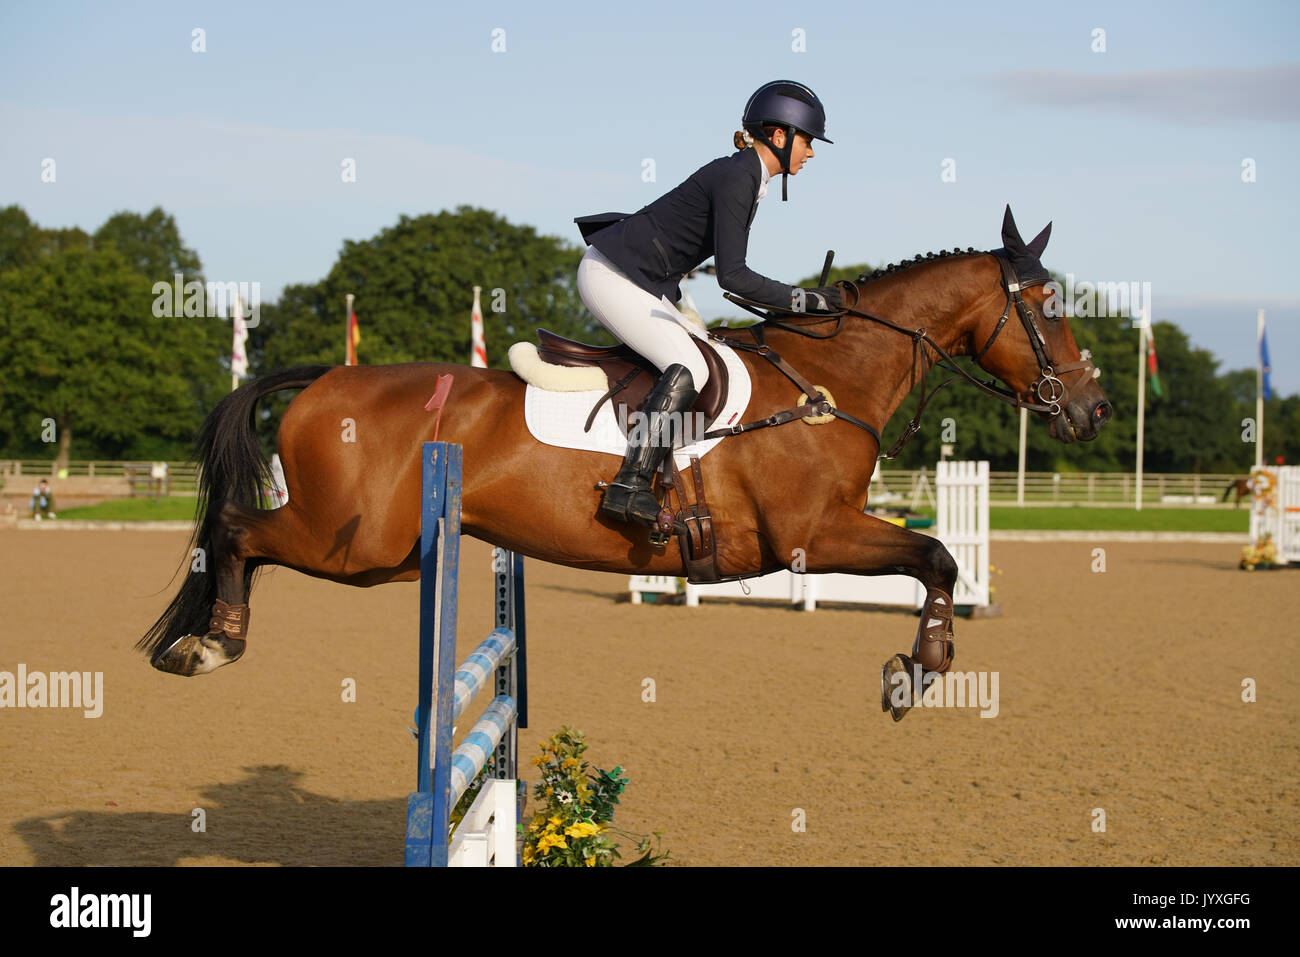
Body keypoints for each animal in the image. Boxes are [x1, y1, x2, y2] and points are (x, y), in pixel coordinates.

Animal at [144, 208, 1118, 717]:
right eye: (1048, 306)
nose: (1093, 407)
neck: (830, 379)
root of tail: (323, 378)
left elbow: (936, 557)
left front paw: (921, 666)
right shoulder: (812, 534)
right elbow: (938, 555)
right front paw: (916, 670)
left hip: (392, 553)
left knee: (242, 533)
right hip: (359, 546)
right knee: (236, 529)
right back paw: (210, 643)